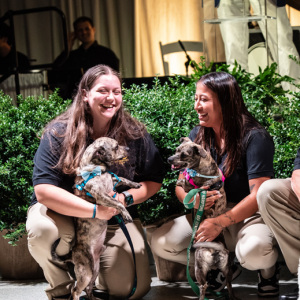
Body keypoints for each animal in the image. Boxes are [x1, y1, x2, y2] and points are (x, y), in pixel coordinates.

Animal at [51, 137, 141, 300]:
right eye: (116, 147)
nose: (128, 149)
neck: (97, 169)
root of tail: (73, 254)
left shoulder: (112, 180)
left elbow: (122, 178)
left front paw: (135, 184)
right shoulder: (101, 196)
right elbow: (118, 202)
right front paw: (125, 214)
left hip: (95, 270)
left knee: (88, 289)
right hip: (86, 272)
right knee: (75, 290)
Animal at [168, 138, 238, 300]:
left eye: (184, 154)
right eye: (176, 150)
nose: (169, 159)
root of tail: (216, 248)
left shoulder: (192, 187)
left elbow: (185, 183)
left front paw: (180, 181)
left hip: (199, 268)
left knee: (203, 286)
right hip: (227, 269)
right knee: (230, 284)